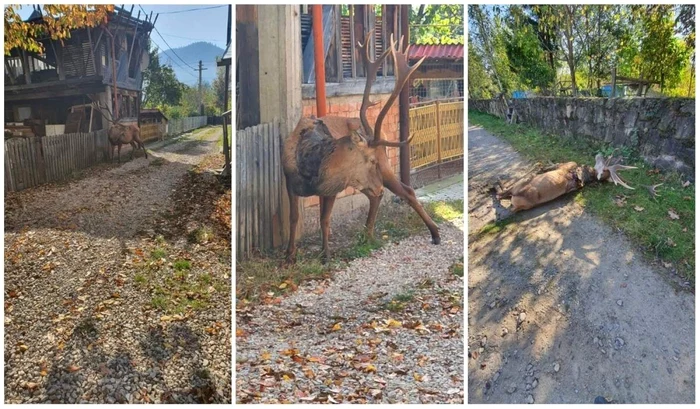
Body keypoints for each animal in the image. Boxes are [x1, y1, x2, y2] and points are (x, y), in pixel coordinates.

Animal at [280, 32, 438, 264]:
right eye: (370, 160)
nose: (379, 185)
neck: (310, 166)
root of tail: (378, 133)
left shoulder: (332, 188)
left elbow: (324, 219)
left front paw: (326, 255)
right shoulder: (289, 180)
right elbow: (293, 217)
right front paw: (290, 254)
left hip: (383, 169)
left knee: (406, 190)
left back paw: (435, 233)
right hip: (364, 180)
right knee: (376, 196)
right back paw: (367, 234)